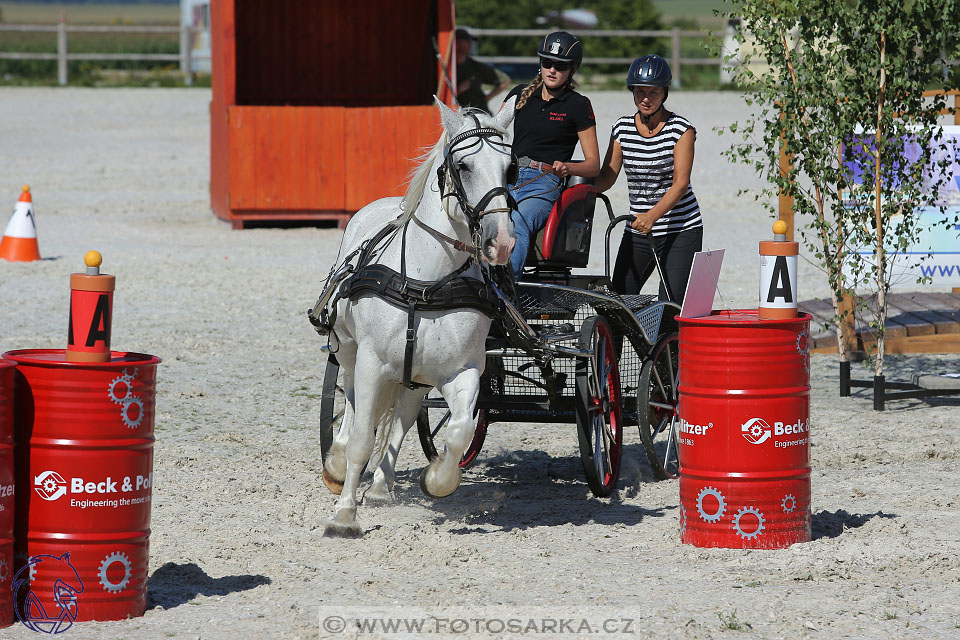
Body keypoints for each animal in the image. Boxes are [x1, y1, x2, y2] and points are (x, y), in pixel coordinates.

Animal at [316, 99, 512, 536]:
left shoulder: (463, 370)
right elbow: (361, 437)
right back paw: (337, 463)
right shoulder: (372, 363)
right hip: (349, 349)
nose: (503, 241)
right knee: (351, 402)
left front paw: (439, 478)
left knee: (404, 415)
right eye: (464, 166)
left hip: (416, 377)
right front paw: (343, 515)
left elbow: (460, 430)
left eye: (511, 168)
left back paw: (381, 485)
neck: (427, 285)